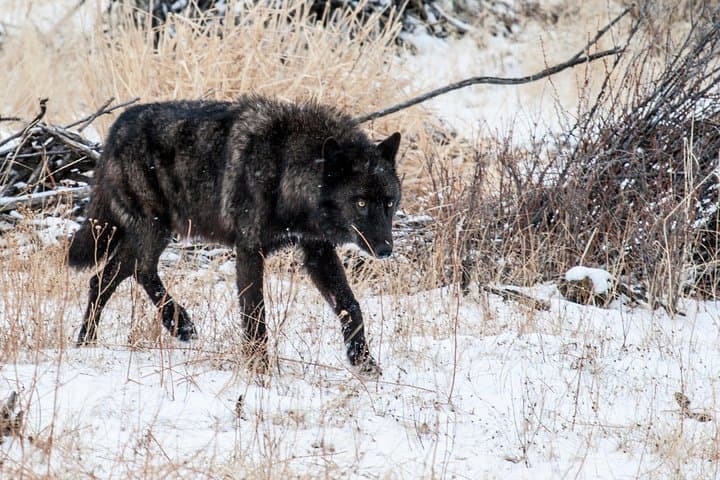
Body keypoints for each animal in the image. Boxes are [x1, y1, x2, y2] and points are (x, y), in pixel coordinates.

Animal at [67, 95, 401, 373]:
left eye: (389, 202)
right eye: (360, 202)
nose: (386, 249)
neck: (284, 168)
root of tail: (117, 126)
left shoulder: (318, 251)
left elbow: (351, 306)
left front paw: (364, 361)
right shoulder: (250, 249)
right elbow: (255, 315)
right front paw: (259, 370)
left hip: (151, 234)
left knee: (105, 278)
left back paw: (91, 341)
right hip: (156, 230)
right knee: (137, 270)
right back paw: (175, 325)